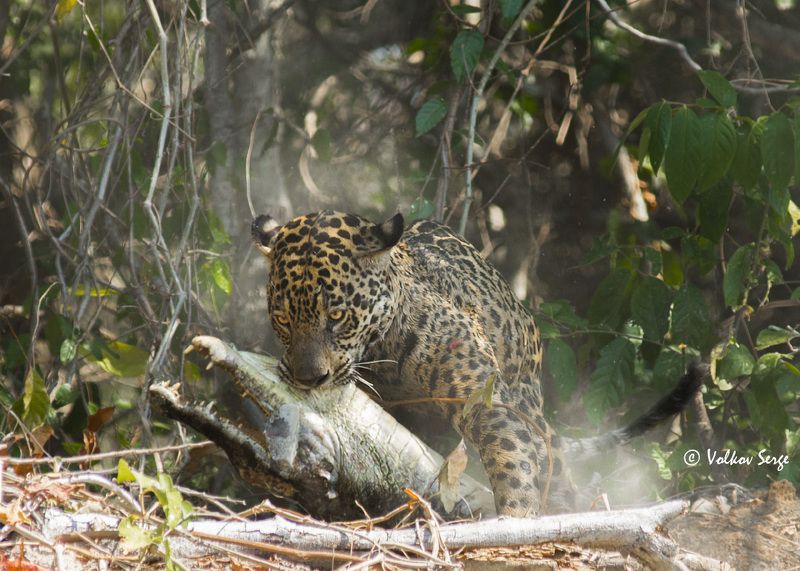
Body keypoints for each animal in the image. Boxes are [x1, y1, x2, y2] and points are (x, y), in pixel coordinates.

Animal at [251, 209, 703, 517]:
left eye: (337, 316)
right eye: (284, 319)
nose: (310, 379)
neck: (382, 356)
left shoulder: (487, 402)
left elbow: (512, 463)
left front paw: (517, 519)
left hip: (528, 400)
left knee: (552, 465)